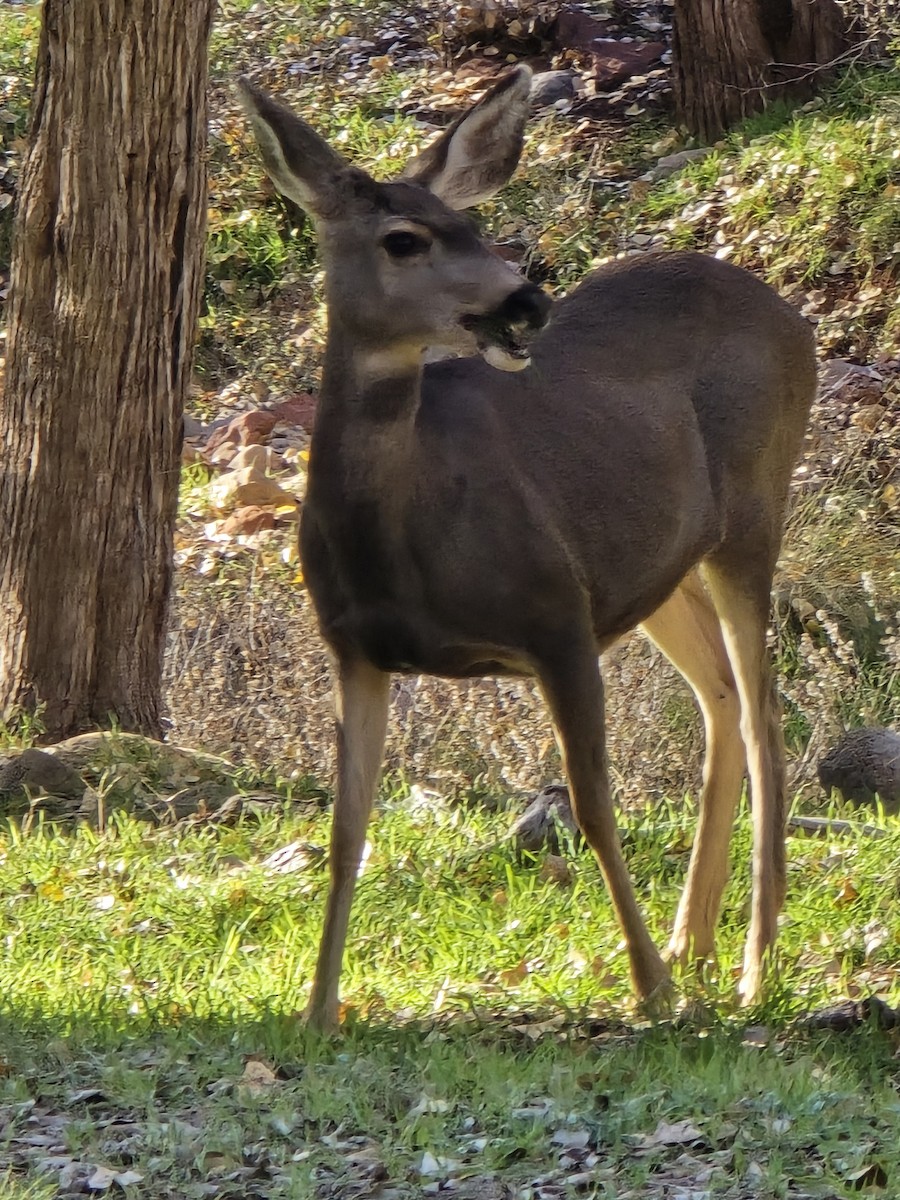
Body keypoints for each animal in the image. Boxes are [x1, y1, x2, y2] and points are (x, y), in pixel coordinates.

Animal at [238, 66, 817, 1032]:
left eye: (476, 226)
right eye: (404, 239)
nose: (527, 301)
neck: (405, 542)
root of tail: (793, 314)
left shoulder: (555, 614)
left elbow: (591, 803)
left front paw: (649, 992)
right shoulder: (353, 647)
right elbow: (347, 826)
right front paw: (317, 1011)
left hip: (753, 508)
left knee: (768, 711)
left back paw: (748, 965)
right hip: (660, 568)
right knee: (725, 697)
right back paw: (696, 945)